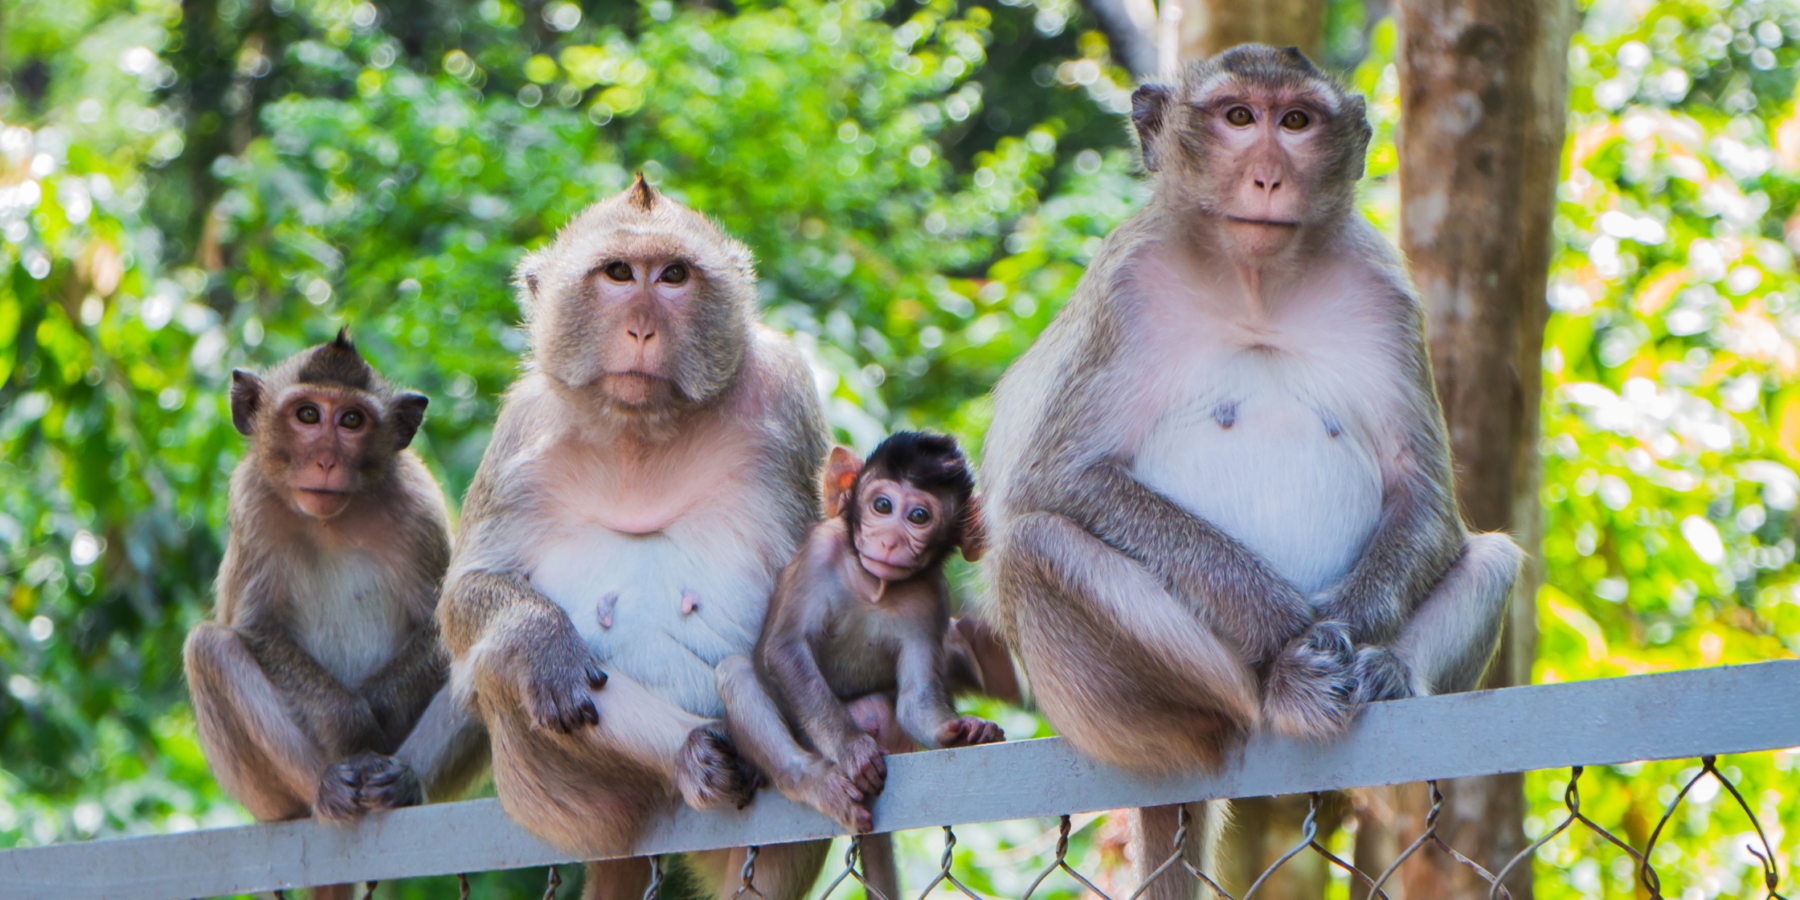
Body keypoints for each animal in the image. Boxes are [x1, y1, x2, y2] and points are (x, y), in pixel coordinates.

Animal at [435, 175, 828, 900]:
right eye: (618, 273)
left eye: (672, 276)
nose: (642, 327)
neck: (640, 430)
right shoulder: (520, 433)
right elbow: (469, 592)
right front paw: (541, 641)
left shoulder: (787, 394)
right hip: (556, 800)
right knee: (504, 666)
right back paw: (689, 754)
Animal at [712, 430, 1008, 835]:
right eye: (882, 505)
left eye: (919, 516)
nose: (888, 541)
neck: (873, 585)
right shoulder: (819, 552)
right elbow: (785, 649)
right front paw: (852, 749)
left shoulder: (931, 597)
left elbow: (916, 702)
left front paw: (962, 731)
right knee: (736, 672)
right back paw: (814, 782)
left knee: (881, 709)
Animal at [979, 47, 1526, 900]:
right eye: (1238, 117)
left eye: (1295, 122)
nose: (1269, 176)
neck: (1255, 285)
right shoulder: (1124, 284)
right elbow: (1057, 480)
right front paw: (1283, 624)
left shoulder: (1386, 291)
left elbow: (1427, 497)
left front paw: (1351, 634)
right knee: (1037, 547)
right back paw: (1282, 688)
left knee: (1494, 558)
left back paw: (1387, 673)